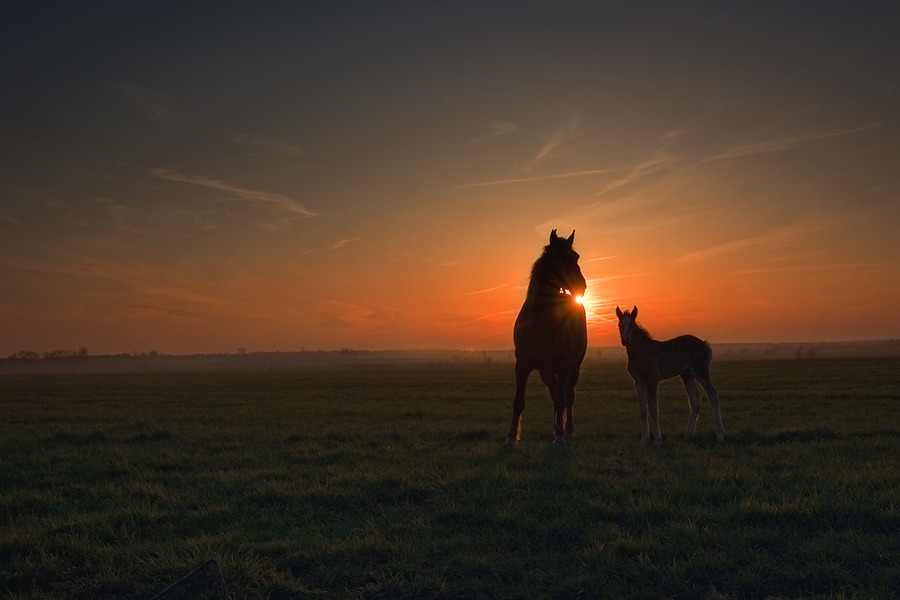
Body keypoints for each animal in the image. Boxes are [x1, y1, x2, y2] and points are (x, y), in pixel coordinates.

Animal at [502, 227, 588, 442]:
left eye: (576, 257)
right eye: (559, 257)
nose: (582, 286)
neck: (541, 320)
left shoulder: (564, 365)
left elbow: (562, 399)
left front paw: (561, 434)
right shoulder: (522, 365)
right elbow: (519, 401)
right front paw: (511, 436)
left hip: (573, 367)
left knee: (567, 395)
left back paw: (567, 429)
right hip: (546, 371)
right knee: (555, 392)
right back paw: (556, 427)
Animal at [616, 308, 728, 442]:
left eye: (632, 325)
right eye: (619, 325)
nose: (625, 341)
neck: (641, 352)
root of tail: (704, 343)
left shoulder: (652, 381)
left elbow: (653, 409)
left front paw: (657, 439)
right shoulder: (638, 382)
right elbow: (643, 409)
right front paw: (645, 439)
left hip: (701, 372)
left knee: (712, 395)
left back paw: (720, 435)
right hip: (687, 375)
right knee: (695, 399)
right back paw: (688, 434)